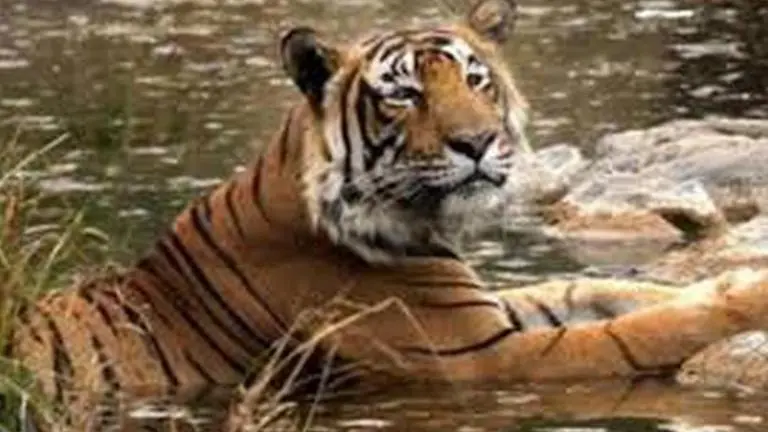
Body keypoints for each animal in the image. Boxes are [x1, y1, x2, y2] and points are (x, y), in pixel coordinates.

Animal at [9, 0, 768, 402]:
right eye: (404, 94)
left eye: (476, 79)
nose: (478, 142)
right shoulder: (480, 360)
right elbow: (639, 332)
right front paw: (743, 300)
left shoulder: (489, 311)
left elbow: (597, 287)